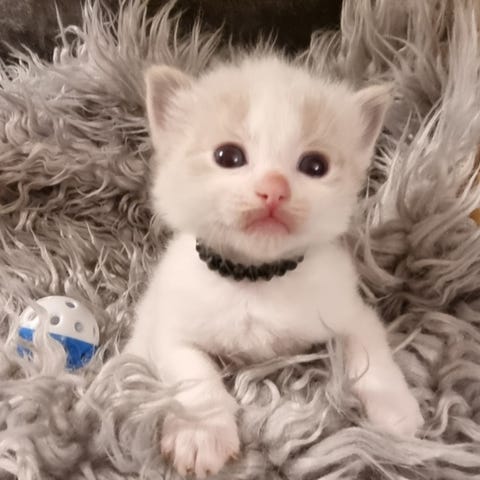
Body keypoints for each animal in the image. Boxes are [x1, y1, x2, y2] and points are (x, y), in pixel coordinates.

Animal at [125, 55, 424, 478]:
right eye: (228, 157)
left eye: (315, 165)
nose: (274, 189)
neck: (256, 279)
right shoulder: (169, 325)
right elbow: (193, 374)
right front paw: (200, 433)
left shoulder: (349, 310)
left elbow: (371, 353)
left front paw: (395, 410)